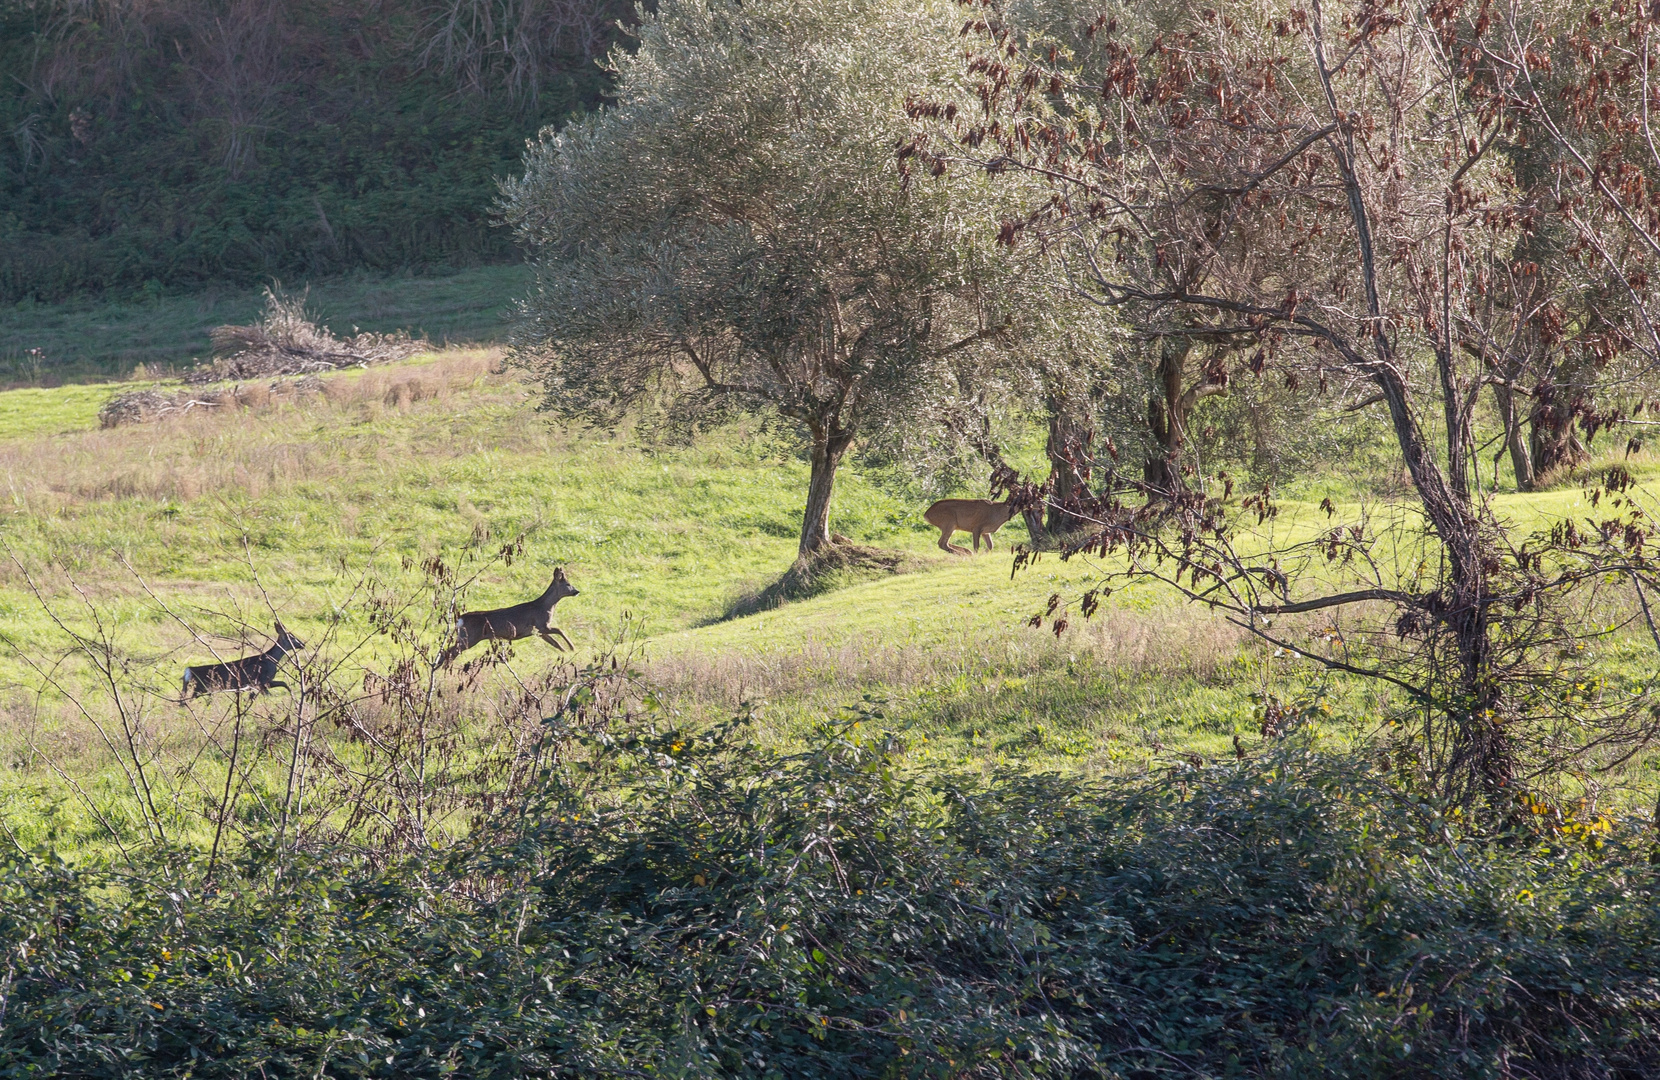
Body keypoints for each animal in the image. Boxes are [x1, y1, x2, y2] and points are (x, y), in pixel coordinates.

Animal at [438, 567, 581, 666]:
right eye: (568, 584)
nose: (577, 591)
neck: (545, 607)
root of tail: (460, 619)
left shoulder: (538, 631)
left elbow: (555, 643)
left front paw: (566, 652)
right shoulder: (541, 625)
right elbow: (560, 630)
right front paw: (573, 648)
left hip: (464, 637)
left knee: (447, 651)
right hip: (469, 637)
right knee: (450, 652)